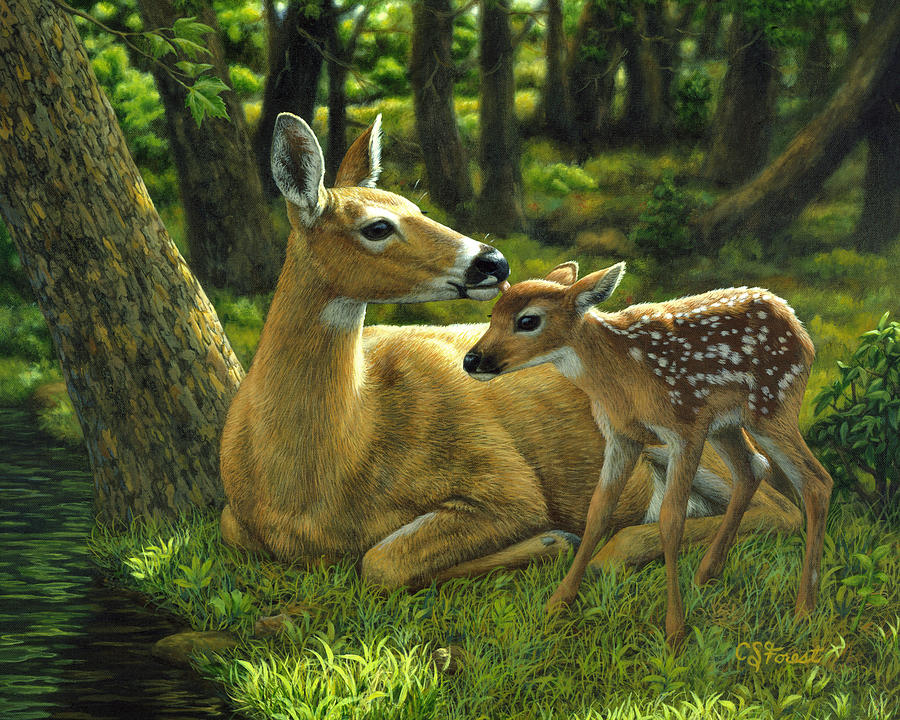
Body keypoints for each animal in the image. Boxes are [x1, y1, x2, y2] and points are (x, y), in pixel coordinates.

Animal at [219, 115, 801, 594]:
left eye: (418, 207)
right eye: (378, 226)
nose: (493, 261)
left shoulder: (505, 482)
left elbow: (381, 561)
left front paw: (551, 541)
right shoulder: (234, 520)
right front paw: (551, 543)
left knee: (776, 504)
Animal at [464, 261, 832, 646]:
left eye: (528, 320)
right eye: (492, 315)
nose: (472, 360)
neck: (621, 376)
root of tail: (795, 322)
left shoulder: (684, 428)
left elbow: (671, 519)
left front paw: (674, 631)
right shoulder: (621, 435)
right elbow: (598, 511)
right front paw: (558, 602)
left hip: (772, 404)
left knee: (816, 481)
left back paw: (804, 609)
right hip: (727, 423)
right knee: (753, 468)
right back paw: (706, 575)